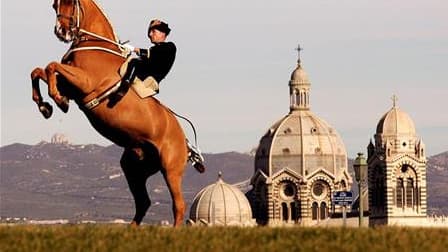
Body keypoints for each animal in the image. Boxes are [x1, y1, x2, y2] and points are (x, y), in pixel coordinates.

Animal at [30, 0, 199, 226]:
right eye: (54, 4)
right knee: (143, 202)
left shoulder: (84, 82)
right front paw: (45, 106)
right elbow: (38, 71)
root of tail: (186, 142)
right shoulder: (70, 84)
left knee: (178, 206)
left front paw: (57, 100)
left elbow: (50, 66)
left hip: (170, 169)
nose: (61, 32)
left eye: (70, 3)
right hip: (134, 168)